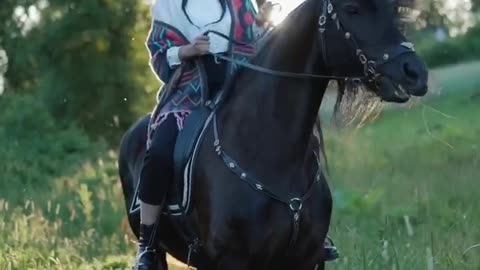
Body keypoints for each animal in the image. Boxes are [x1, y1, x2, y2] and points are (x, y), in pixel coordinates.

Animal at [118, 0, 430, 268]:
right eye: (351, 9)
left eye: (392, 9)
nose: (415, 73)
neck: (267, 152)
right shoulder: (233, 260)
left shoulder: (308, 258)